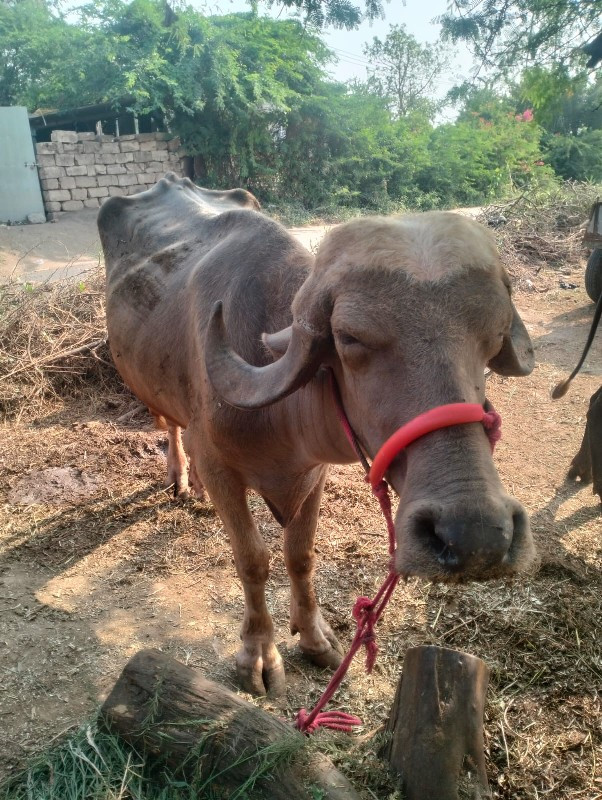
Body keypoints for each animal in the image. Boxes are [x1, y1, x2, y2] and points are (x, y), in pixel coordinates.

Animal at [98, 173, 536, 692]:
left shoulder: (314, 472)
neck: (277, 414)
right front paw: (258, 655)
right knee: (169, 426)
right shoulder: (223, 467)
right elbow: (252, 559)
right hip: (148, 391)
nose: (474, 535)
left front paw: (314, 637)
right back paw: (182, 477)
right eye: (349, 337)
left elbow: (300, 554)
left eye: (493, 340)